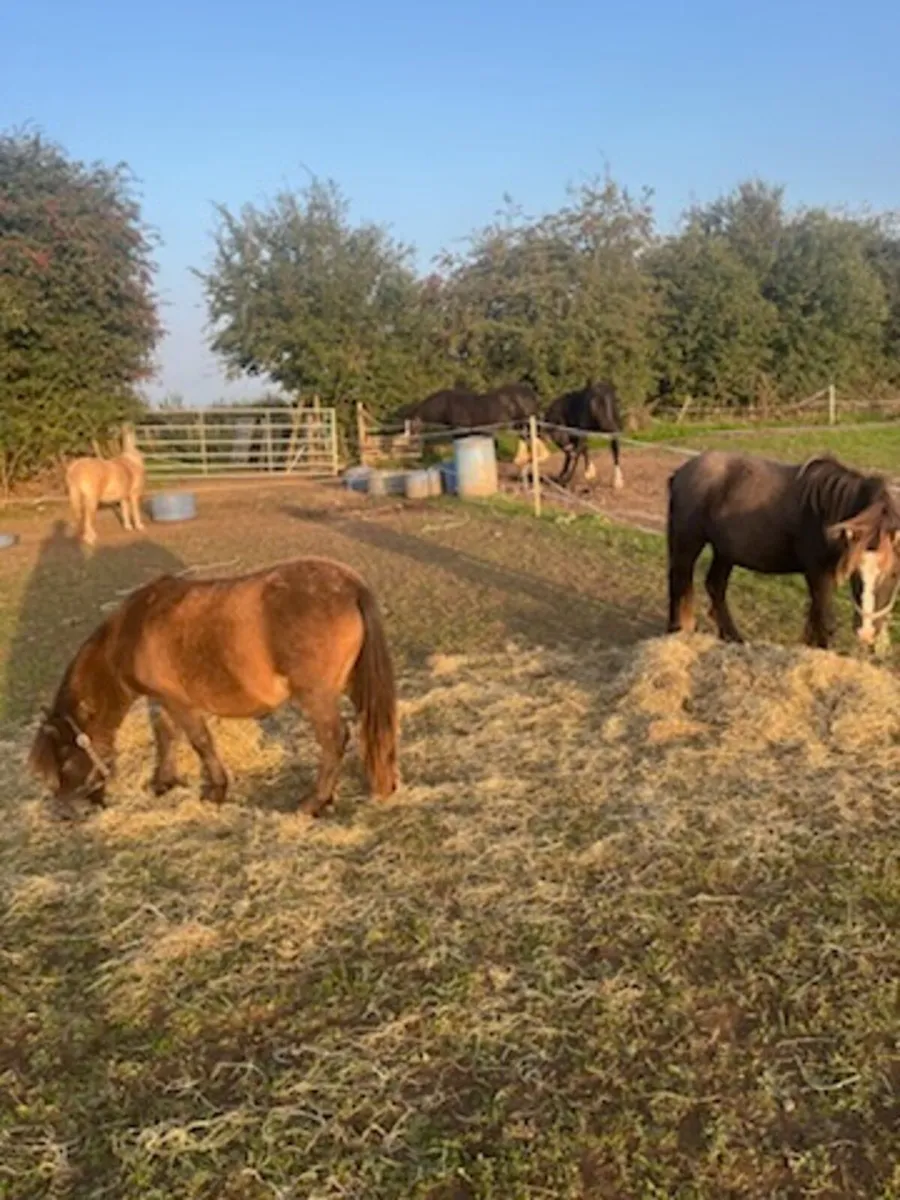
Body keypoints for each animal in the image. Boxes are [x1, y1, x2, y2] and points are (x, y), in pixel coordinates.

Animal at [28, 557, 399, 818]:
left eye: (63, 760)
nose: (67, 813)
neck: (134, 630)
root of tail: (351, 586)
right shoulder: (164, 700)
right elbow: (166, 735)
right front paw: (163, 782)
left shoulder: (179, 702)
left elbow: (200, 742)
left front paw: (216, 790)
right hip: (353, 683)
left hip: (316, 696)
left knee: (335, 739)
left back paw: (314, 802)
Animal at [666, 450, 900, 650]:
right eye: (855, 574)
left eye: (894, 574)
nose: (866, 633)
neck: (826, 512)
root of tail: (681, 472)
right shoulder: (817, 573)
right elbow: (824, 620)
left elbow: (815, 618)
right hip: (688, 543)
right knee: (680, 582)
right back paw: (678, 631)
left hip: (724, 551)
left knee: (715, 586)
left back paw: (733, 638)